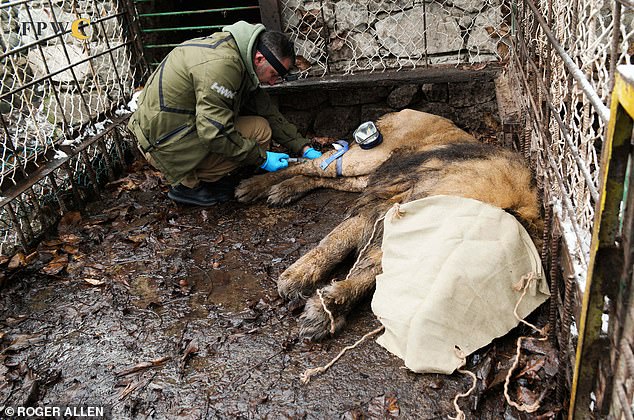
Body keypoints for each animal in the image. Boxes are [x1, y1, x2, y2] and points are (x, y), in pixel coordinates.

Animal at [235, 109, 540, 342]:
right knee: (306, 165)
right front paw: (297, 278)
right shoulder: (386, 208)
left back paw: (285, 190)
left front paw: (327, 309)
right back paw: (254, 184)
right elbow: (335, 244)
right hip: (365, 159)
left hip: (364, 177)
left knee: (319, 176)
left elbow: (368, 272)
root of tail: (411, 110)